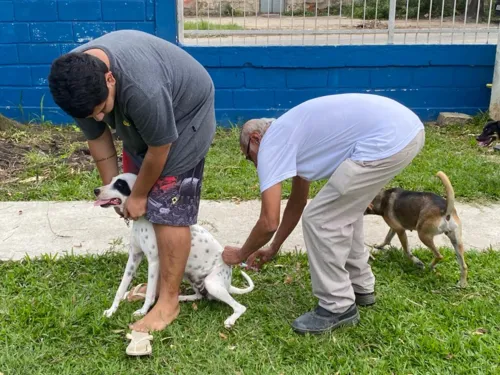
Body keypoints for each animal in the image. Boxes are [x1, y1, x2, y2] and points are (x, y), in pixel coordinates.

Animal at [94, 173, 254, 328]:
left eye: (120, 185)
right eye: (112, 180)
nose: (96, 190)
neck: (143, 220)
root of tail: (228, 284)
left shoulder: (154, 262)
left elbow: (150, 293)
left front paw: (143, 311)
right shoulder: (134, 257)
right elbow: (120, 288)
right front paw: (112, 310)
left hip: (212, 283)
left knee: (240, 307)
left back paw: (230, 320)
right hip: (188, 274)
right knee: (199, 295)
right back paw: (182, 297)